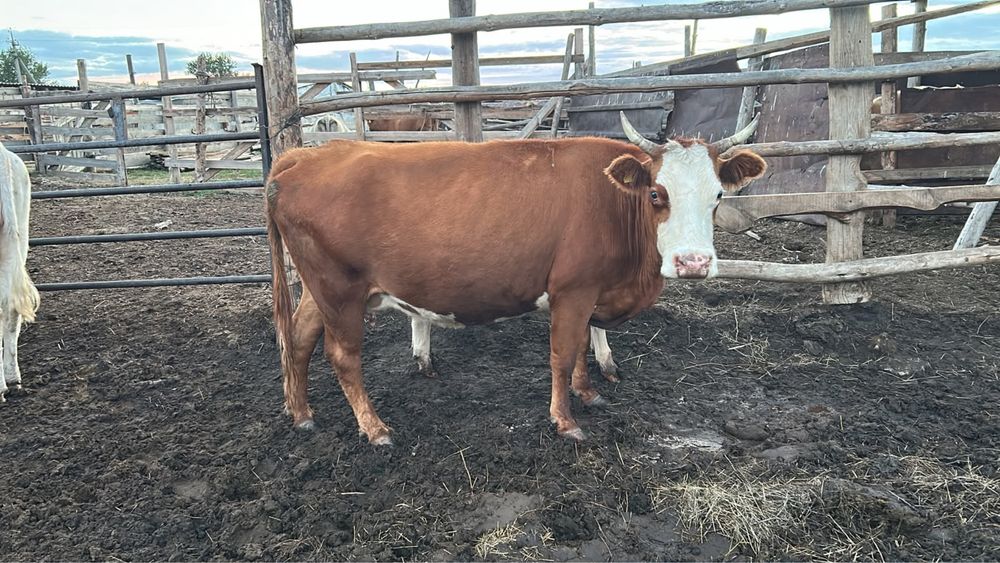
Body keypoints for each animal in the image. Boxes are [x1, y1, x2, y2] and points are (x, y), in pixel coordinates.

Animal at [265, 113, 765, 444]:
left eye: (717, 196)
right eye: (657, 194)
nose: (693, 262)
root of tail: (305, 156)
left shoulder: (590, 295)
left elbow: (582, 349)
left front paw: (588, 393)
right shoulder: (573, 290)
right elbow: (562, 354)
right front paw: (566, 421)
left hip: (317, 290)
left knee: (299, 338)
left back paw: (301, 413)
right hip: (339, 290)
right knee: (342, 356)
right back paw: (374, 428)